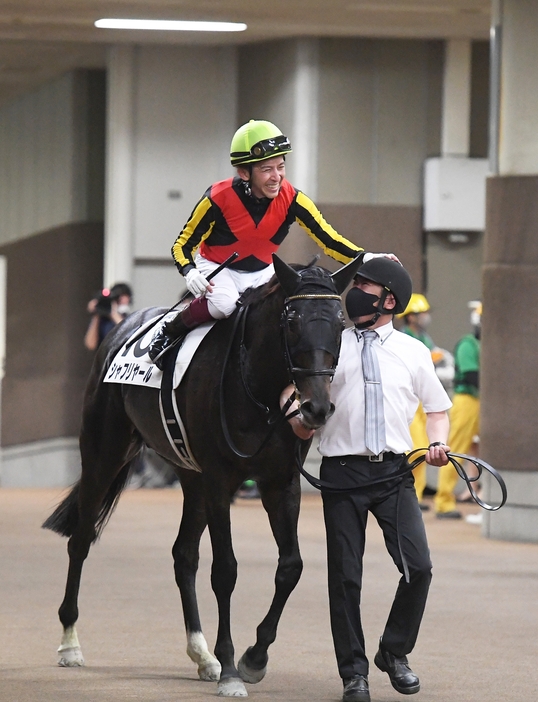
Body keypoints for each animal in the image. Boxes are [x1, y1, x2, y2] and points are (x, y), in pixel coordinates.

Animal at [40, 253, 360, 700]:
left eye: (340, 323)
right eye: (292, 320)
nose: (315, 408)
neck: (257, 387)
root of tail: (124, 325)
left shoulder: (279, 482)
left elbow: (291, 566)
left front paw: (253, 657)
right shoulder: (220, 480)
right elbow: (225, 570)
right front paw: (231, 669)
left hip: (189, 477)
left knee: (183, 555)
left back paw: (201, 654)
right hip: (104, 453)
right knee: (81, 540)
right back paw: (70, 643)